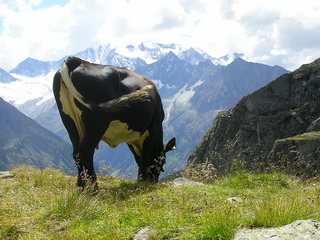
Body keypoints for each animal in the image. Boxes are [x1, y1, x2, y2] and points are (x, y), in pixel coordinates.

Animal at [53, 57, 176, 187]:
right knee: (86, 148)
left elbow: (138, 158)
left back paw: (81, 185)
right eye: (162, 162)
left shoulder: (130, 136)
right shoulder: (153, 127)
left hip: (69, 121)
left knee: (76, 151)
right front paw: (142, 182)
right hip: (97, 122)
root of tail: (78, 61)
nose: (154, 181)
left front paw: (139, 180)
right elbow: (145, 157)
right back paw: (94, 188)